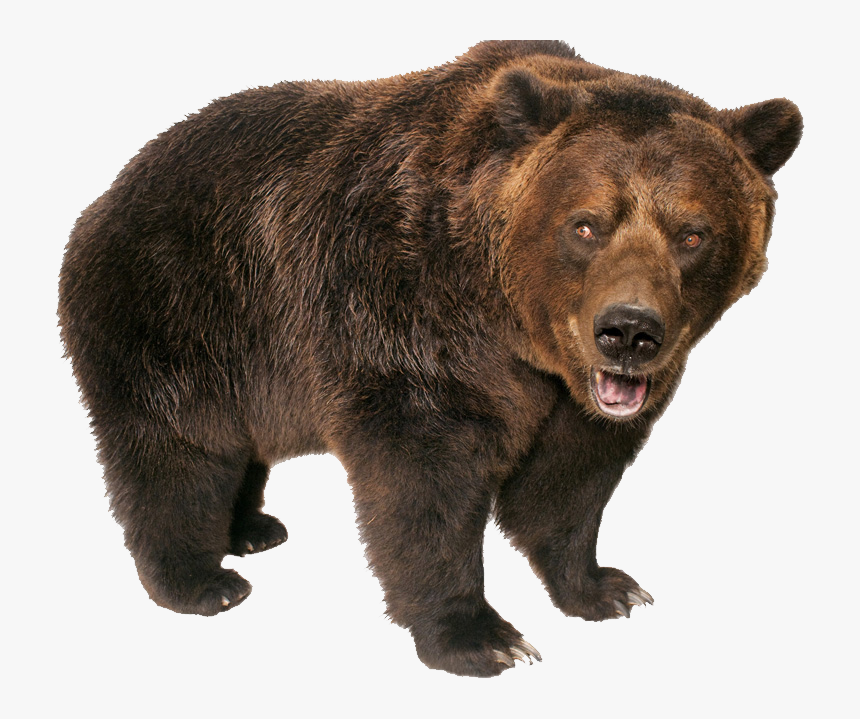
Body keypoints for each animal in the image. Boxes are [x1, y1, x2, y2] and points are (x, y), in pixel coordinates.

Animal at [58, 40, 802, 677]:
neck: (514, 324)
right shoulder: (403, 312)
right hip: (180, 310)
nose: (628, 331)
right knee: (179, 451)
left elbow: (569, 478)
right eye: (587, 224)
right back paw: (201, 578)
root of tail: (109, 190)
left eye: (693, 234)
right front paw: (480, 636)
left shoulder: (574, 394)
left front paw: (605, 587)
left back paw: (252, 528)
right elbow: (426, 481)